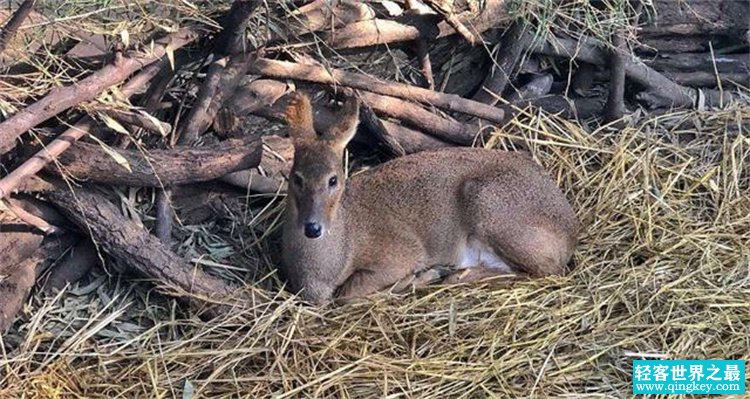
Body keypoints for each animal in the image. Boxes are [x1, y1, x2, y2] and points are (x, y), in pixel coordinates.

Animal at [282, 92, 580, 304]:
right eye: (296, 177)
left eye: (333, 179)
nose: (313, 227)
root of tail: (570, 233)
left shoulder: (402, 252)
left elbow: (349, 294)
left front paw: (419, 278)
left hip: (488, 203)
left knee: (547, 270)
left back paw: (454, 274)